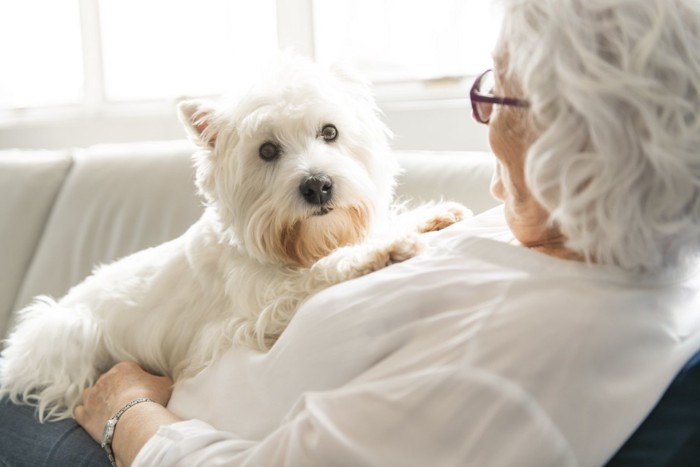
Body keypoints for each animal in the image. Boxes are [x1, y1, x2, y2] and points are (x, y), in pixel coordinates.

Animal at [1, 54, 470, 420]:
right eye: (267, 151)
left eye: (330, 132)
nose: (318, 185)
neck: (289, 246)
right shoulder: (249, 317)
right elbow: (317, 273)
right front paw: (381, 249)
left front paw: (429, 217)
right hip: (67, 332)